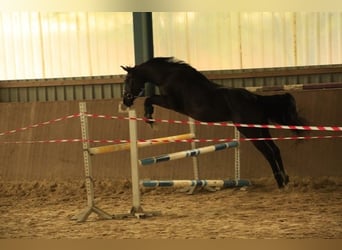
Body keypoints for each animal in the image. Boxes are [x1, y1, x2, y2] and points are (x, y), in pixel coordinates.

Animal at [121, 56, 306, 188]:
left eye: (128, 80)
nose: (126, 101)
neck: (168, 75)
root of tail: (255, 98)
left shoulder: (171, 103)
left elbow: (149, 99)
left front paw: (149, 118)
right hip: (261, 130)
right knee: (275, 150)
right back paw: (286, 179)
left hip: (250, 131)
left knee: (268, 152)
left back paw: (280, 182)